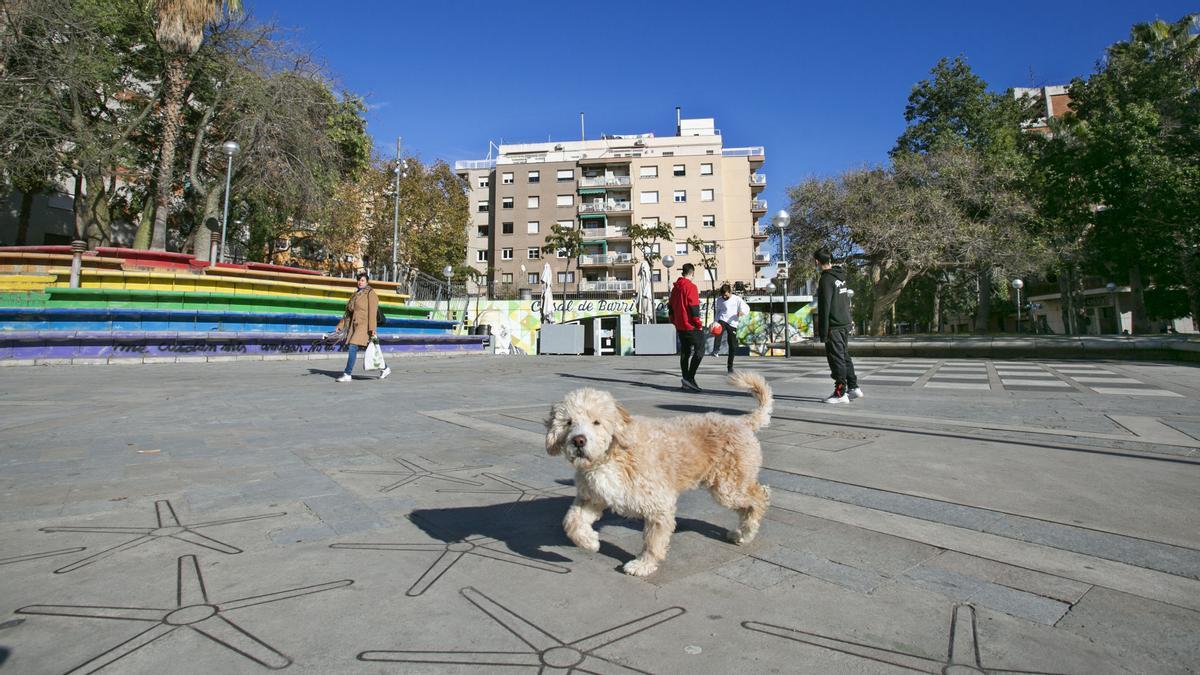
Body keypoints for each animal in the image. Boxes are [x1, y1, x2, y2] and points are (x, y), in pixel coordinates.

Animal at [549, 369, 772, 576]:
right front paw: (590, 541)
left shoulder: (659, 504)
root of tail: (742, 421)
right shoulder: (593, 497)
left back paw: (747, 531)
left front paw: (643, 565)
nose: (578, 440)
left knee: (760, 497)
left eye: (596, 422)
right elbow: (571, 520)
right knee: (749, 504)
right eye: (568, 422)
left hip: (729, 488)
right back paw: (740, 532)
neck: (611, 456)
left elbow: (652, 541)